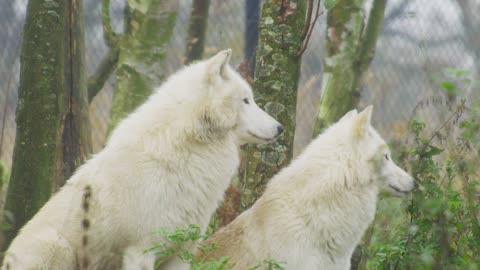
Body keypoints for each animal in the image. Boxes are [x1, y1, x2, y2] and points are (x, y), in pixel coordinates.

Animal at [1, 49, 284, 270]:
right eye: (246, 100)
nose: (280, 128)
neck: (185, 151)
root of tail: (6, 259)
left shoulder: (181, 252)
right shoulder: (140, 251)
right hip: (56, 246)